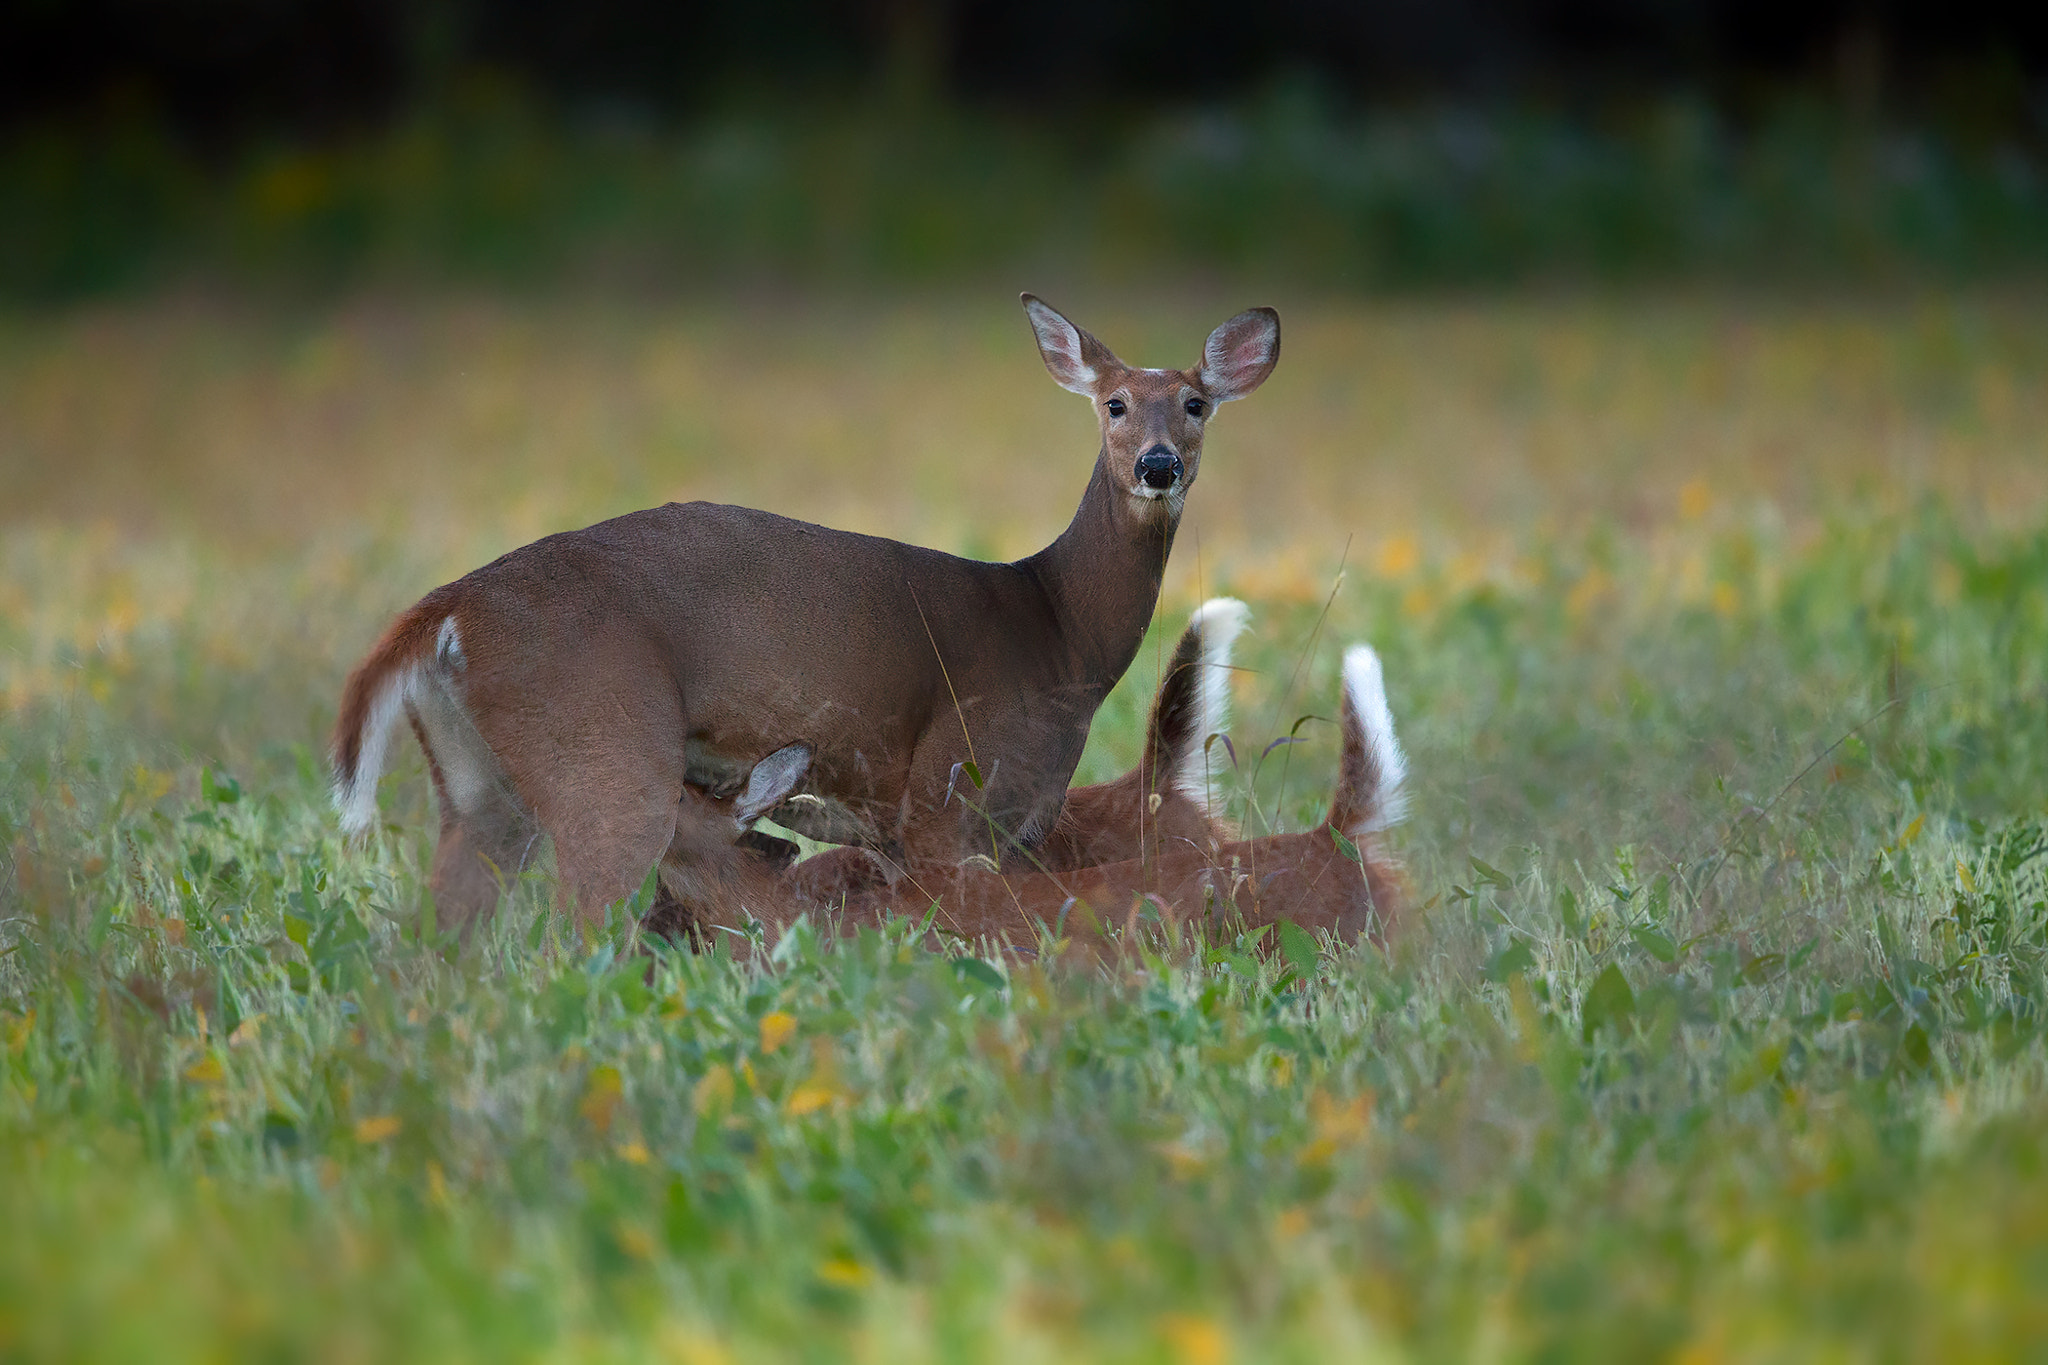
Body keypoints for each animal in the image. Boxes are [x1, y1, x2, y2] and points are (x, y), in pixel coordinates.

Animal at [331, 296, 1277, 941]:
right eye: (1113, 403)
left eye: (1194, 403)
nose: (1158, 465)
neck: (1056, 631)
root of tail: (450, 607)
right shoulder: (945, 788)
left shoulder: (998, 824)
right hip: (609, 756)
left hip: (478, 784)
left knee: (433, 941)